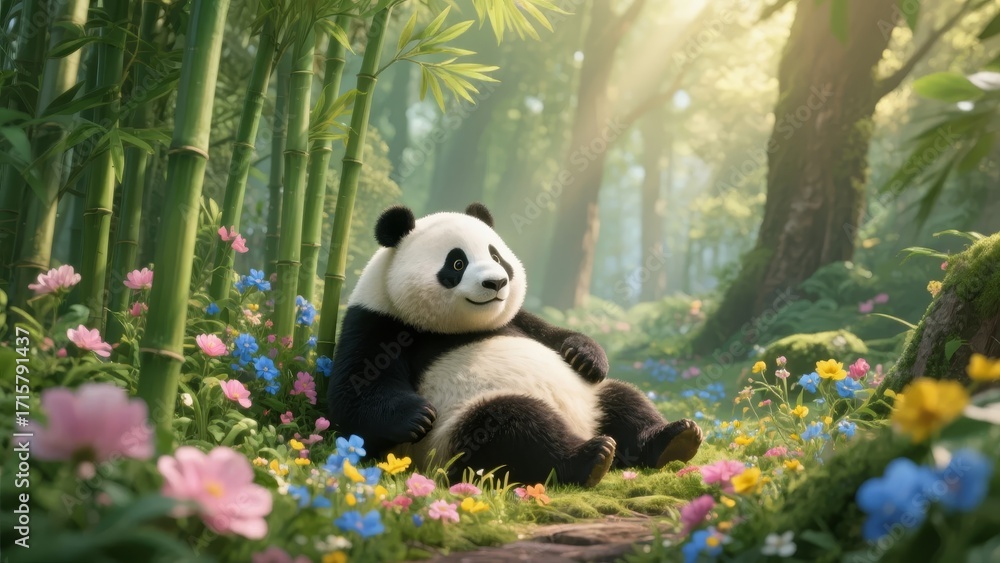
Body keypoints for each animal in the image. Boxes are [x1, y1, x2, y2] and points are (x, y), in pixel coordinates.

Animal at [327, 203, 703, 487]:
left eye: (497, 257)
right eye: (457, 263)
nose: (496, 283)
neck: (460, 327)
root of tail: (581, 428)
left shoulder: (516, 320)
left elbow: (550, 333)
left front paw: (585, 356)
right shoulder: (379, 322)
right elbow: (354, 394)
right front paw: (416, 415)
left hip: (591, 398)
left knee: (625, 399)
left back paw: (674, 438)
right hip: (454, 434)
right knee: (513, 428)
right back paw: (590, 458)